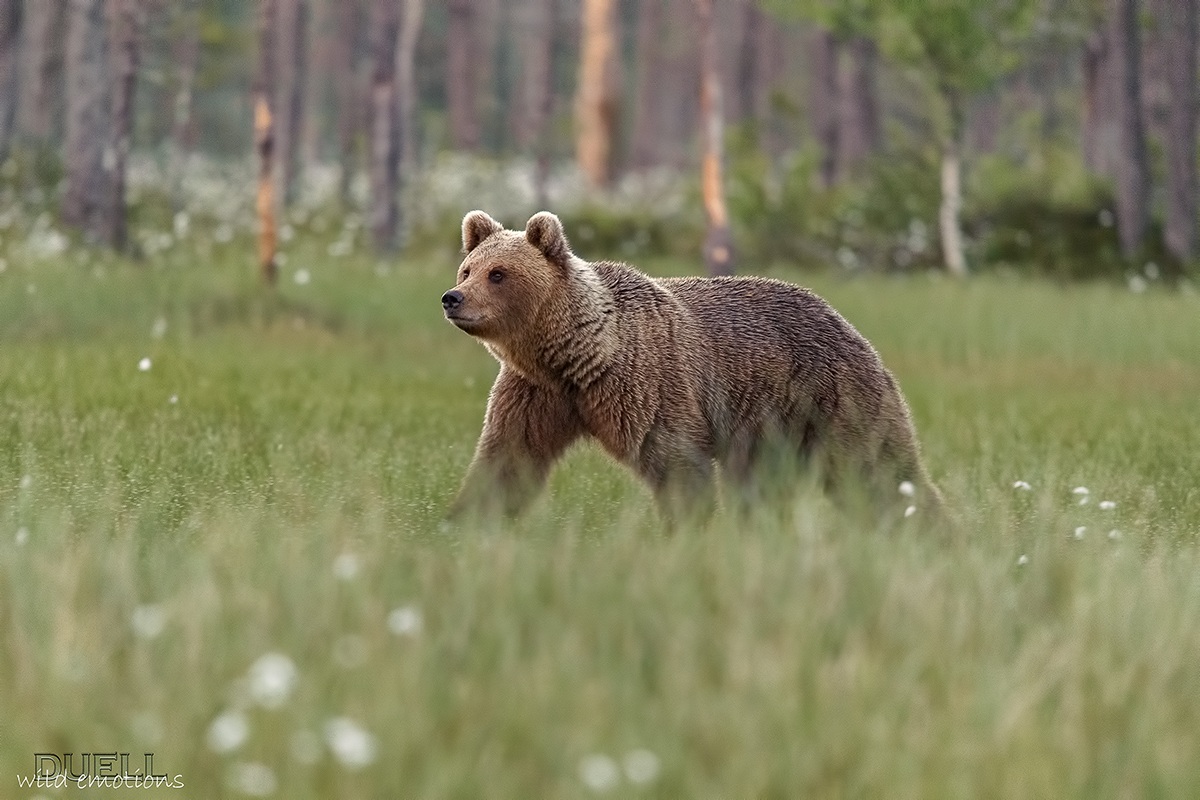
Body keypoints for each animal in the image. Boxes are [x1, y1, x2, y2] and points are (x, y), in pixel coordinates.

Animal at [441, 210, 944, 525]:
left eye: (499, 274)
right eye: (467, 268)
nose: (452, 298)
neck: (576, 355)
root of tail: (847, 324)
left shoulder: (648, 384)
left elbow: (677, 465)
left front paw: (684, 530)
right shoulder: (536, 393)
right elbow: (507, 458)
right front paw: (463, 523)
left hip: (831, 397)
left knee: (880, 469)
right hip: (769, 430)